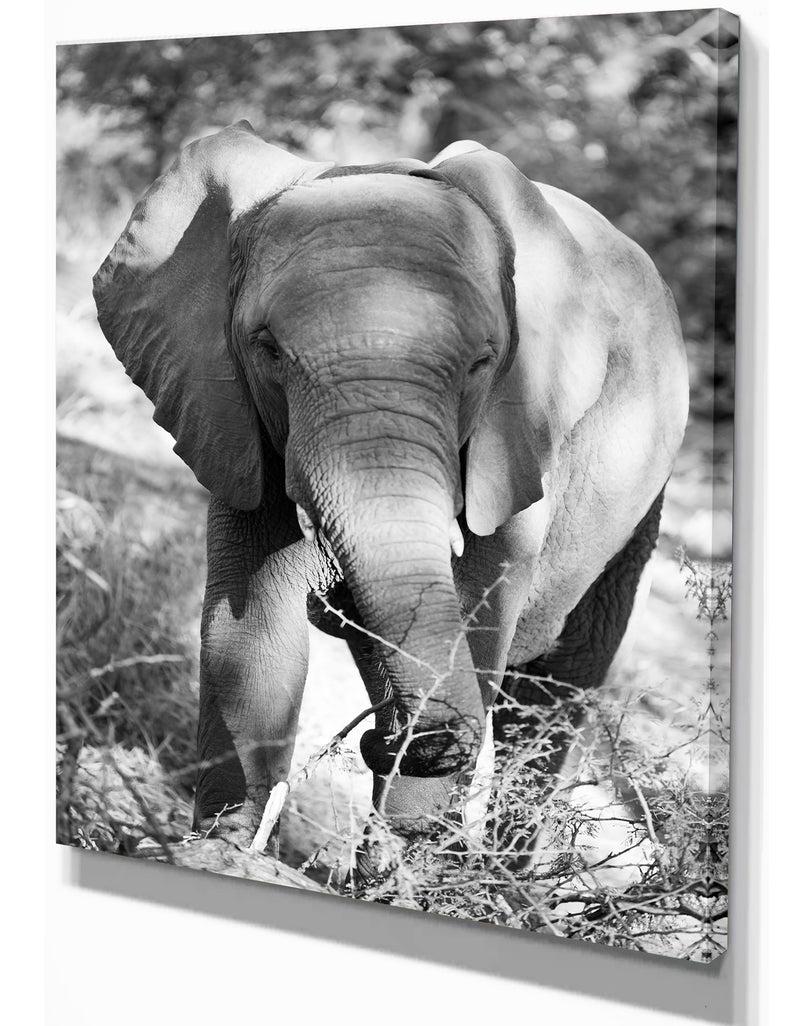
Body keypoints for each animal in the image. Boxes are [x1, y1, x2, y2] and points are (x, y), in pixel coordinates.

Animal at [93, 121, 688, 858]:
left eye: (482, 363)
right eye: (266, 349)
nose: (391, 742)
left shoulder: (519, 432)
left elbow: (474, 614)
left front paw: (405, 862)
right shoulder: (230, 413)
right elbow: (249, 626)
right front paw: (219, 850)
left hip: (645, 489)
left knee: (553, 691)